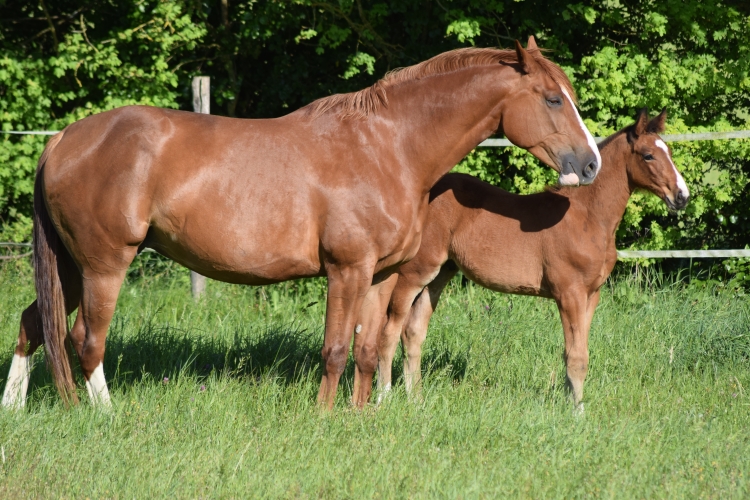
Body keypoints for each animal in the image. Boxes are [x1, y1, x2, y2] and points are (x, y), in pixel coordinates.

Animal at [0, 38, 604, 406]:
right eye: (552, 99)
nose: (591, 163)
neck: (388, 147)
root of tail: (63, 139)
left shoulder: (380, 275)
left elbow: (368, 350)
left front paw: (362, 416)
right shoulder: (346, 269)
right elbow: (335, 350)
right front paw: (325, 417)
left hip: (71, 266)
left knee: (34, 326)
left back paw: (22, 407)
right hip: (104, 265)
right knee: (86, 340)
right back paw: (105, 414)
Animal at [378, 109, 692, 410]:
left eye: (669, 151)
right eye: (648, 155)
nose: (682, 196)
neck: (588, 218)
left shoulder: (592, 295)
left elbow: (580, 352)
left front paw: (572, 403)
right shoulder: (569, 294)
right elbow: (575, 356)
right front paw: (577, 414)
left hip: (441, 273)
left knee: (413, 331)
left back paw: (416, 400)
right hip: (415, 272)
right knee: (390, 331)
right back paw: (383, 398)